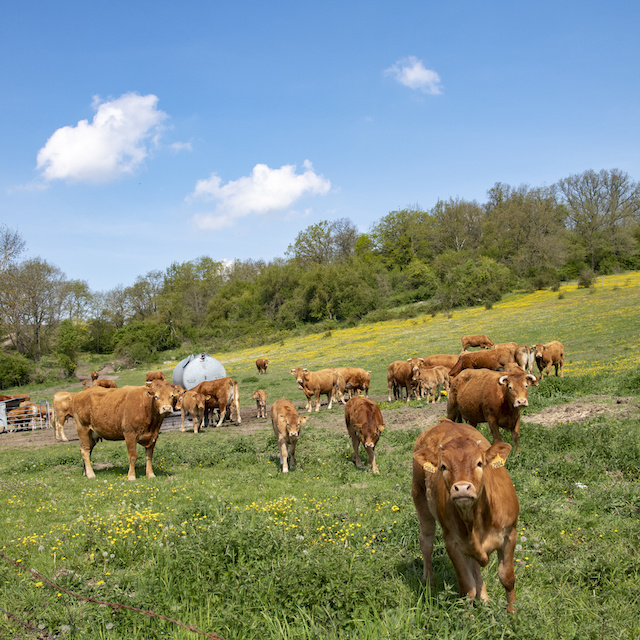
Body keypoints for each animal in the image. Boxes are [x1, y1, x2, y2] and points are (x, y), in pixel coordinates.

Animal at [410, 418, 520, 612]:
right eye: (443, 466)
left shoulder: (509, 534)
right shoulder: (453, 543)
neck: (476, 520)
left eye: (479, 463)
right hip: (420, 500)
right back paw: (429, 582)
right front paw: (468, 616)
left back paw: (484, 598)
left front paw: (513, 613)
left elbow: (507, 578)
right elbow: (467, 588)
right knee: (426, 542)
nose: (462, 488)